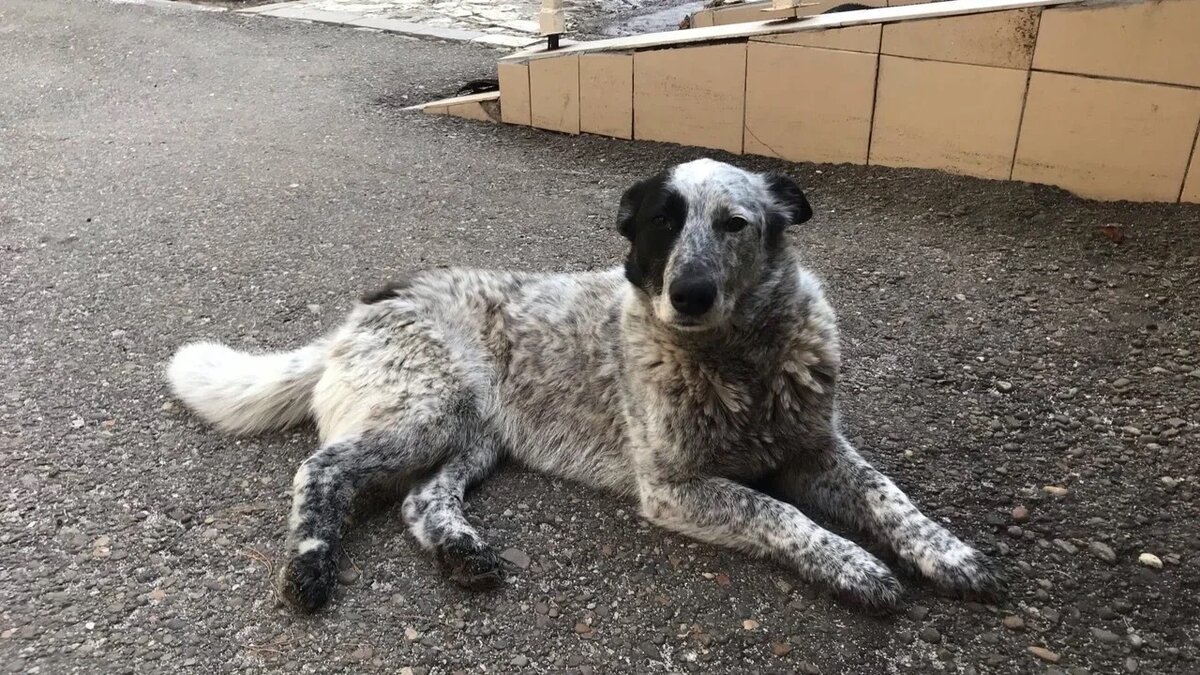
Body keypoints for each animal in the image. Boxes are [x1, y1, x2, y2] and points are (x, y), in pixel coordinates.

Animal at [164, 157, 998, 610]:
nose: (689, 292)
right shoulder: (676, 487)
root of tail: (362, 310)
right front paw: (853, 564)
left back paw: (462, 549)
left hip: (472, 435)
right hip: (423, 411)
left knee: (420, 499)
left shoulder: (818, 450)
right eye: (662, 224)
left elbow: (889, 495)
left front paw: (947, 552)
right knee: (321, 467)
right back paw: (309, 562)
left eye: (733, 222)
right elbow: (780, 514)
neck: (737, 364)